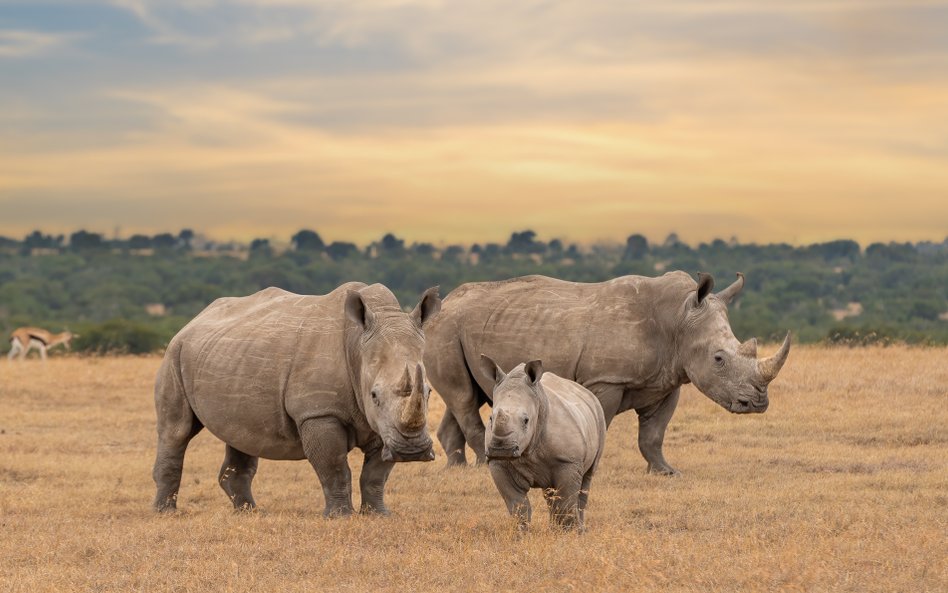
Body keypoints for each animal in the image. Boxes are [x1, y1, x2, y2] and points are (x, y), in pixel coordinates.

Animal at [482, 354, 608, 528]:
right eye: (490, 418)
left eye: (526, 420)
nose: (501, 450)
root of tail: (586, 392)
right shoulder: (498, 463)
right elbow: (517, 505)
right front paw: (520, 532)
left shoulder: (568, 461)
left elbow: (565, 503)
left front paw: (566, 532)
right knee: (550, 493)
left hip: (599, 415)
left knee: (586, 480)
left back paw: (580, 528)